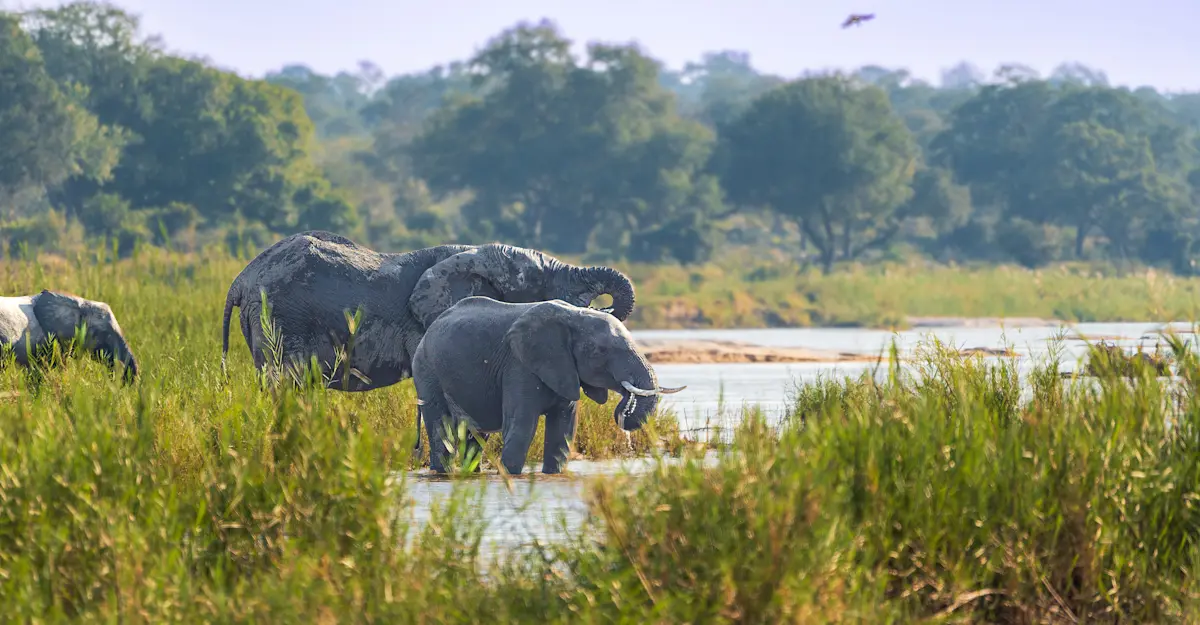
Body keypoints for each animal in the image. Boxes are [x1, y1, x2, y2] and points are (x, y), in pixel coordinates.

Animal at [411, 296, 685, 475]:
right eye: (600, 351)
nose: (624, 408)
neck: (574, 316)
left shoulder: (563, 369)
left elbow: (563, 430)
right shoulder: (520, 364)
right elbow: (522, 426)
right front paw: (510, 477)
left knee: (474, 437)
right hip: (426, 371)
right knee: (442, 430)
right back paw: (443, 473)